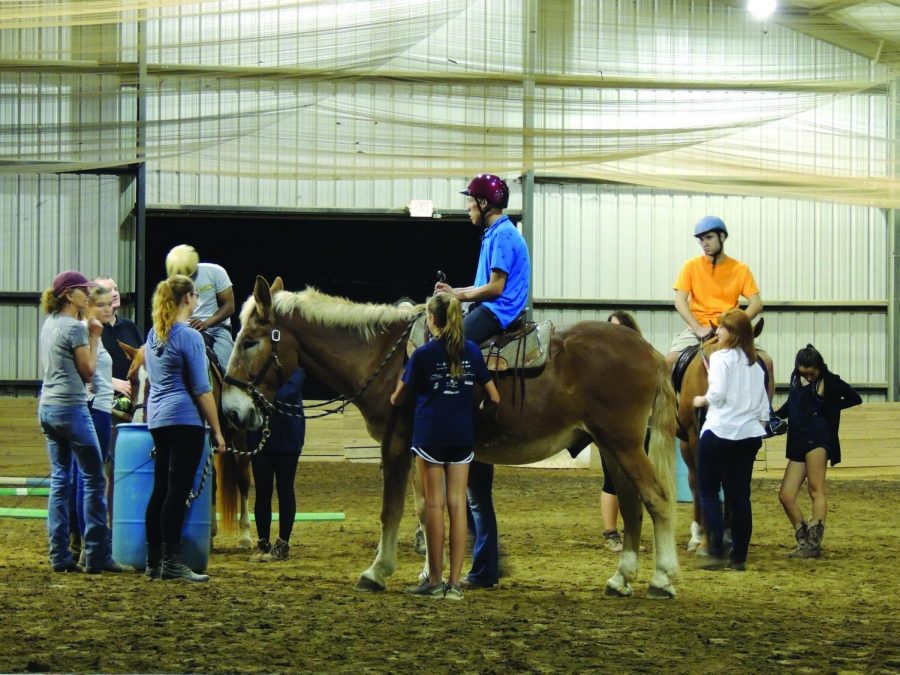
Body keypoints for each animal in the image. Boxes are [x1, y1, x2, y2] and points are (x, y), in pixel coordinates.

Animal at [118, 340, 253, 548]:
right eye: (130, 378)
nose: (140, 420)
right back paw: (211, 532)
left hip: (239, 437)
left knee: (243, 478)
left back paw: (245, 534)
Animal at [225, 278, 684, 600]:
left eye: (249, 341)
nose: (232, 410)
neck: (386, 359)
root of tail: (647, 350)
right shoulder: (422, 449)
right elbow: (427, 509)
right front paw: (427, 570)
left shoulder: (397, 444)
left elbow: (393, 510)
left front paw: (378, 571)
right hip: (612, 446)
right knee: (632, 504)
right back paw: (621, 578)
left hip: (623, 444)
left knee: (657, 498)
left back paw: (662, 579)